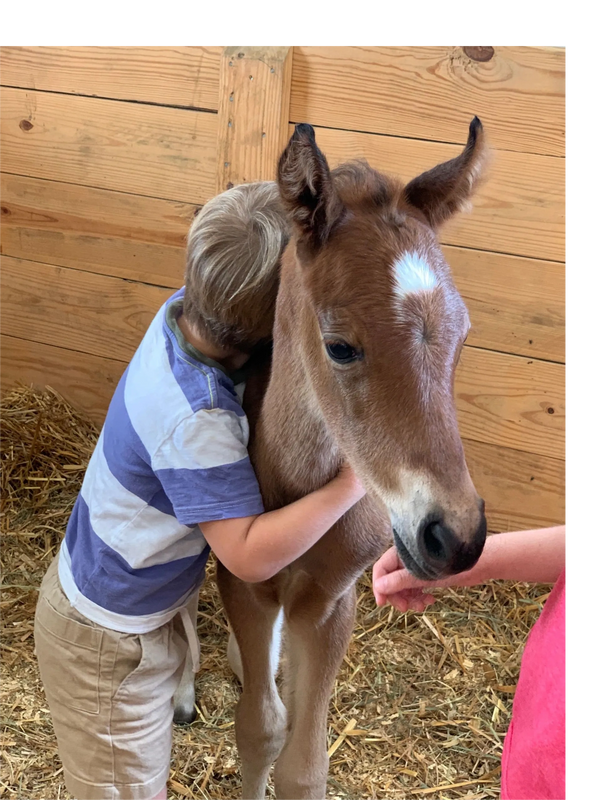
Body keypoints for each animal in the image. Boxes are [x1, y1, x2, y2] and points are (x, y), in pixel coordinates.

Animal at [185, 120, 490, 800]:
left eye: (462, 338)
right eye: (340, 347)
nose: (454, 535)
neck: (299, 488)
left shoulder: (330, 602)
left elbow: (304, 763)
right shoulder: (244, 582)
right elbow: (260, 731)